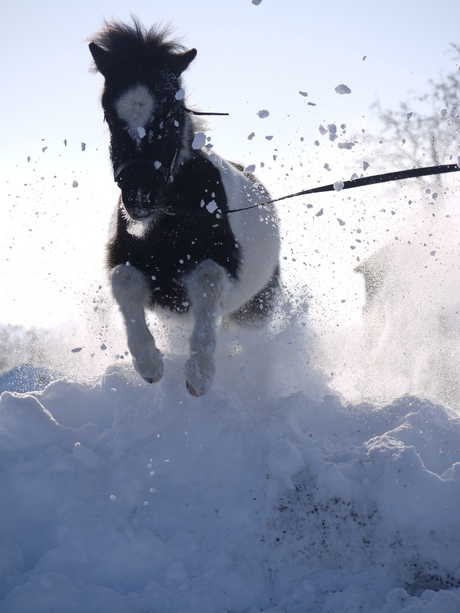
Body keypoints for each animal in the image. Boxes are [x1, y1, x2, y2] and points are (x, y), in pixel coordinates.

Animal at [88, 20, 278, 396]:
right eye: (109, 114)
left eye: (171, 113)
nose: (140, 197)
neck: (173, 219)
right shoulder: (131, 263)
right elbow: (124, 280)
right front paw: (150, 365)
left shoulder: (219, 267)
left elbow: (207, 280)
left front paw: (199, 376)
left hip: (253, 310)